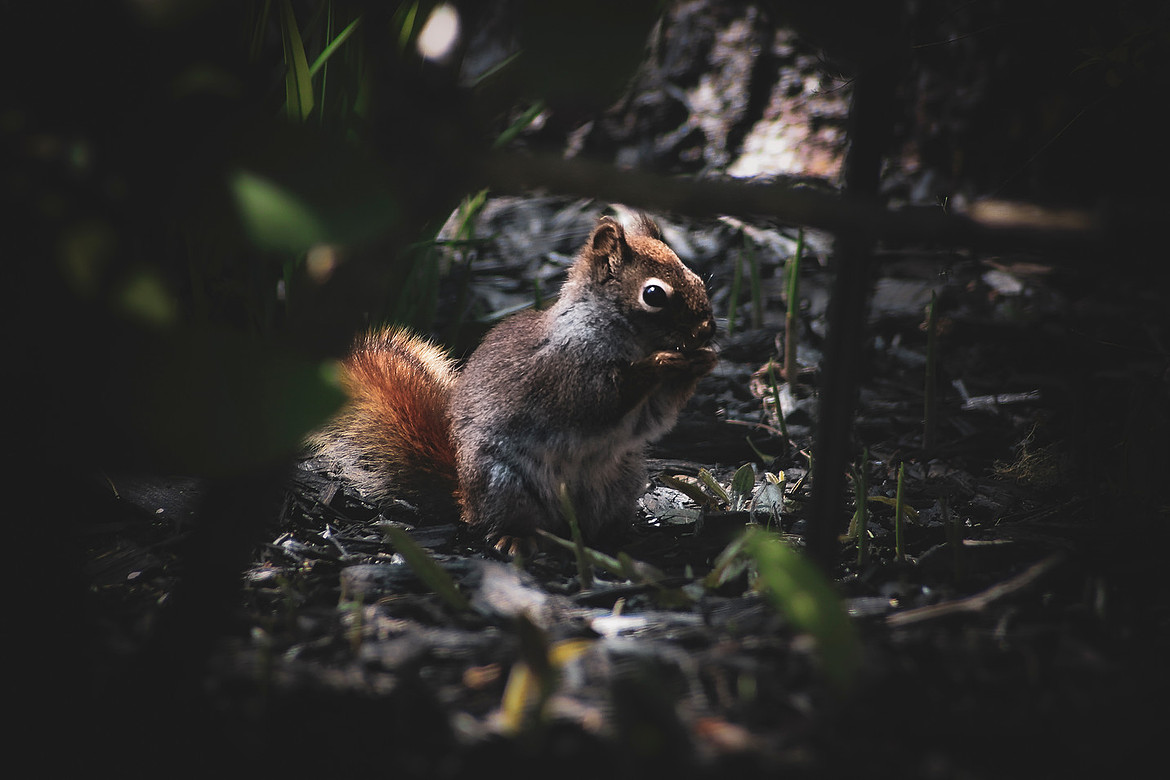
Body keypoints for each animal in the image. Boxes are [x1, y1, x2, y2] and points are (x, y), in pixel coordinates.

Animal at [309, 213, 717, 556]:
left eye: (698, 279)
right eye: (654, 295)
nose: (706, 329)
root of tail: (464, 496)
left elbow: (652, 418)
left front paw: (702, 361)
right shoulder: (564, 374)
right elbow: (602, 401)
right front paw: (663, 363)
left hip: (621, 480)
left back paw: (620, 539)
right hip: (503, 482)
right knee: (506, 522)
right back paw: (516, 538)